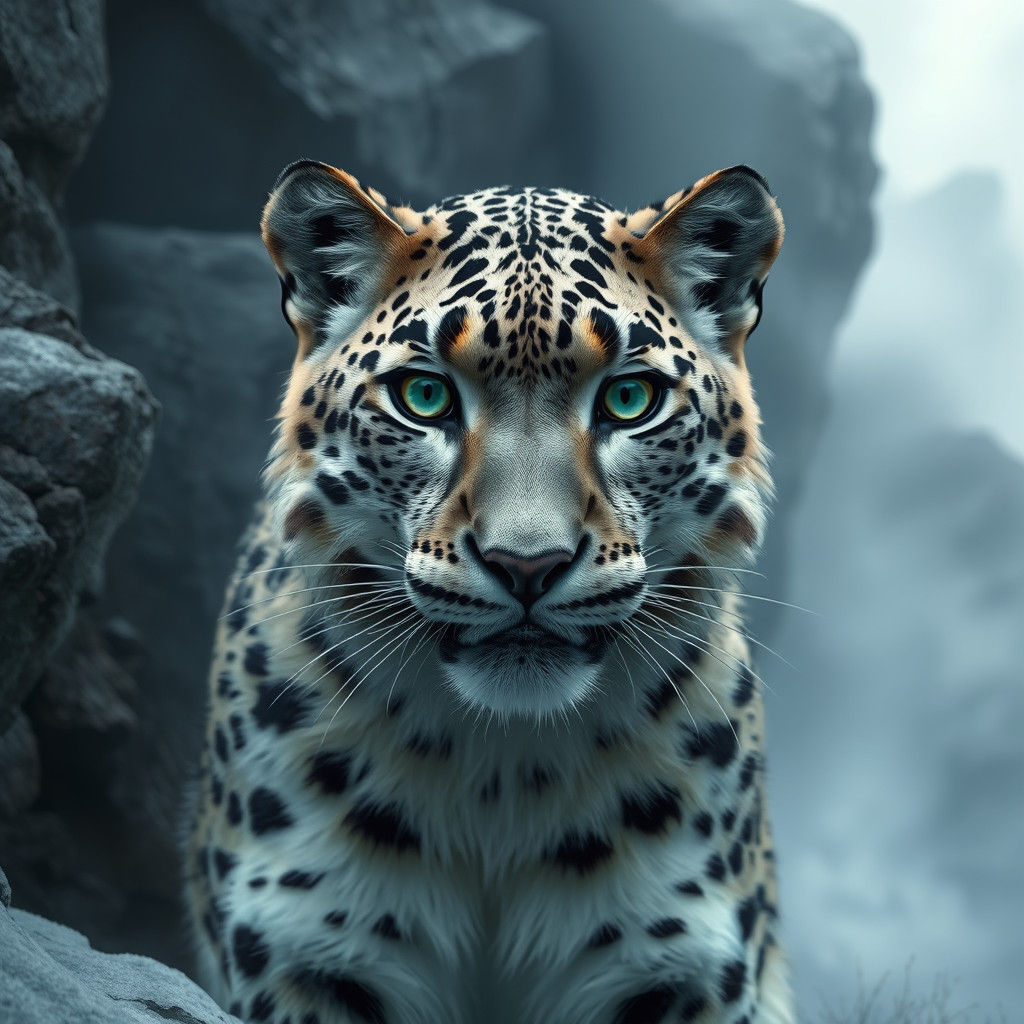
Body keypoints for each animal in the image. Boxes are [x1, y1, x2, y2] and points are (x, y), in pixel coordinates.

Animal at [184, 157, 794, 1024]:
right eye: (424, 397)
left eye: (630, 401)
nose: (527, 564)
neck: (502, 774)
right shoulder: (304, 949)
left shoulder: (679, 966)